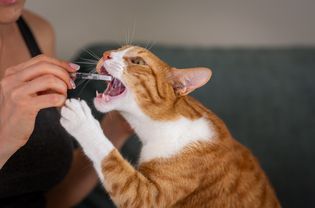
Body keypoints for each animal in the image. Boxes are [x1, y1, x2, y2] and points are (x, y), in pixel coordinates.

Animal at [61, 45, 282, 208]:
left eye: (138, 62)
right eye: (117, 49)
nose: (106, 53)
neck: (163, 126)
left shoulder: (148, 197)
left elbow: (109, 158)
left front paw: (82, 121)